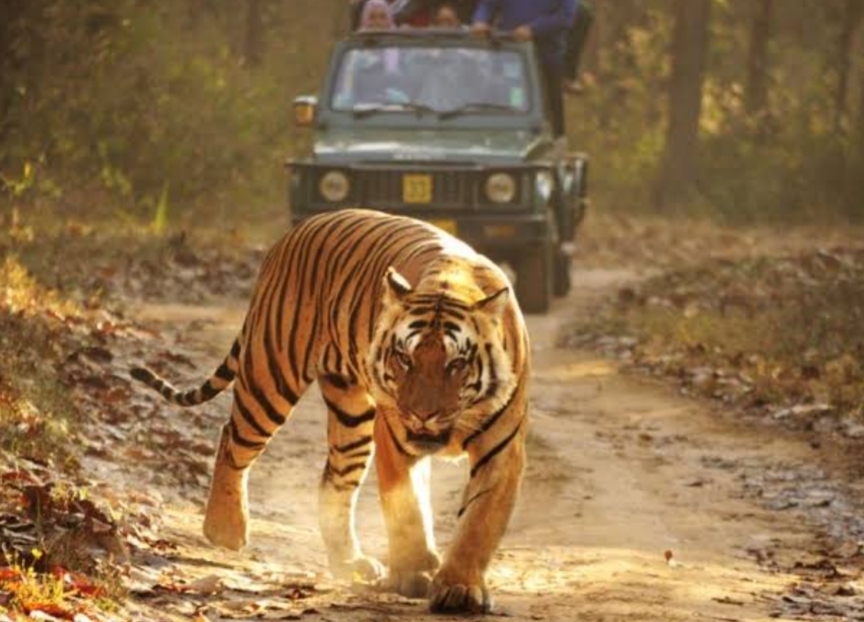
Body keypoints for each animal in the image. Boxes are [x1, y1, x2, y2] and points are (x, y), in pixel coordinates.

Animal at [131, 208, 528, 616]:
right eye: (405, 358)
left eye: (456, 364)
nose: (421, 414)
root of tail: (297, 230)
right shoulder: (394, 437)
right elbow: (407, 508)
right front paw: (415, 573)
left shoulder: (502, 449)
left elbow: (479, 521)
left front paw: (459, 587)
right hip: (271, 374)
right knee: (233, 438)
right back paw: (225, 530)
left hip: (351, 416)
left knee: (334, 480)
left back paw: (349, 561)